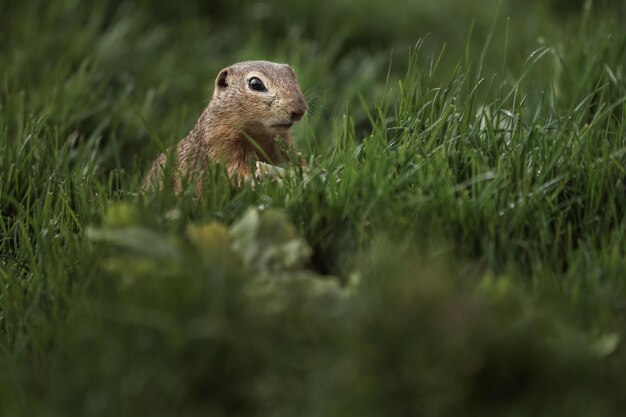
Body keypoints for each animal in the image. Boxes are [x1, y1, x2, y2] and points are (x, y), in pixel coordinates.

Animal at [142, 59, 308, 193]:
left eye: (293, 77)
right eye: (256, 84)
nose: (300, 110)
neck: (259, 134)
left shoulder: (282, 144)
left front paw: (306, 171)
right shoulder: (221, 144)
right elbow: (234, 170)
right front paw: (255, 179)